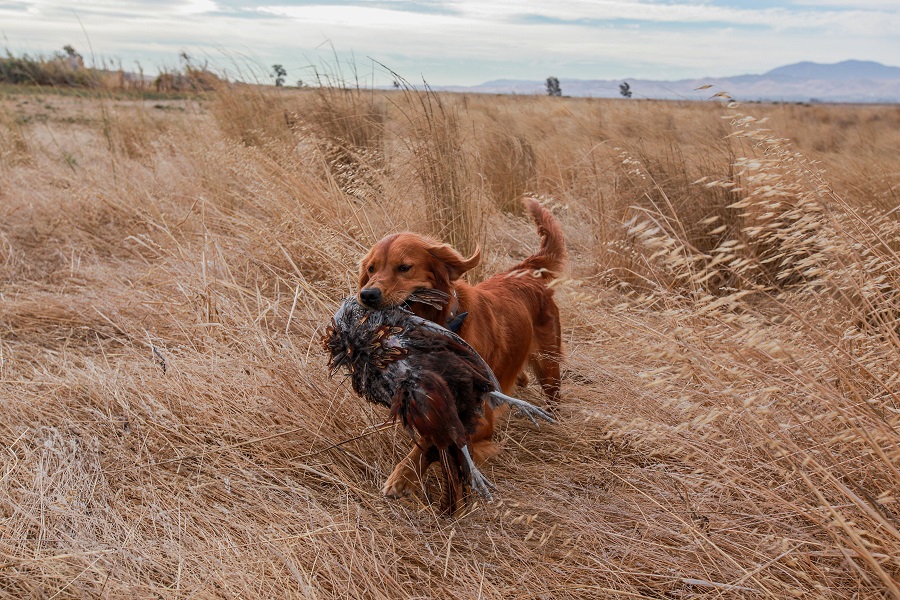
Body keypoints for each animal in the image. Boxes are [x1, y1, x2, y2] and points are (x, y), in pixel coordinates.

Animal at [356, 197, 564, 496]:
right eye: (371, 269)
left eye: (404, 267)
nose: (367, 295)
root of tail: (524, 272)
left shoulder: (480, 419)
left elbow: (436, 440)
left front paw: (402, 476)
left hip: (549, 366)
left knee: (553, 394)